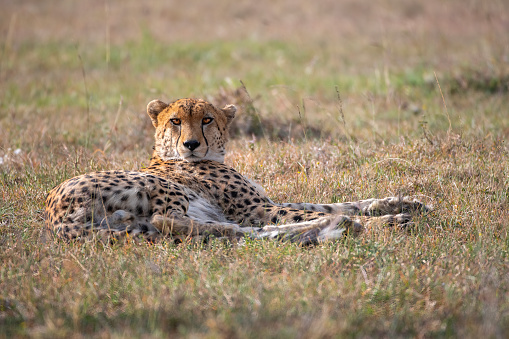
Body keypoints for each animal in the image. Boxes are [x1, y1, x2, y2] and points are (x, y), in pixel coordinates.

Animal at [43, 98, 426, 244]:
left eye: (207, 120)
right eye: (176, 121)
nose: (191, 145)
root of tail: (54, 219)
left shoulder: (259, 205)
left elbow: (334, 202)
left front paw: (402, 203)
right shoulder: (254, 207)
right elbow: (308, 209)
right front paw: (385, 218)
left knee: (235, 231)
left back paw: (341, 226)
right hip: (155, 188)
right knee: (170, 221)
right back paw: (351, 226)